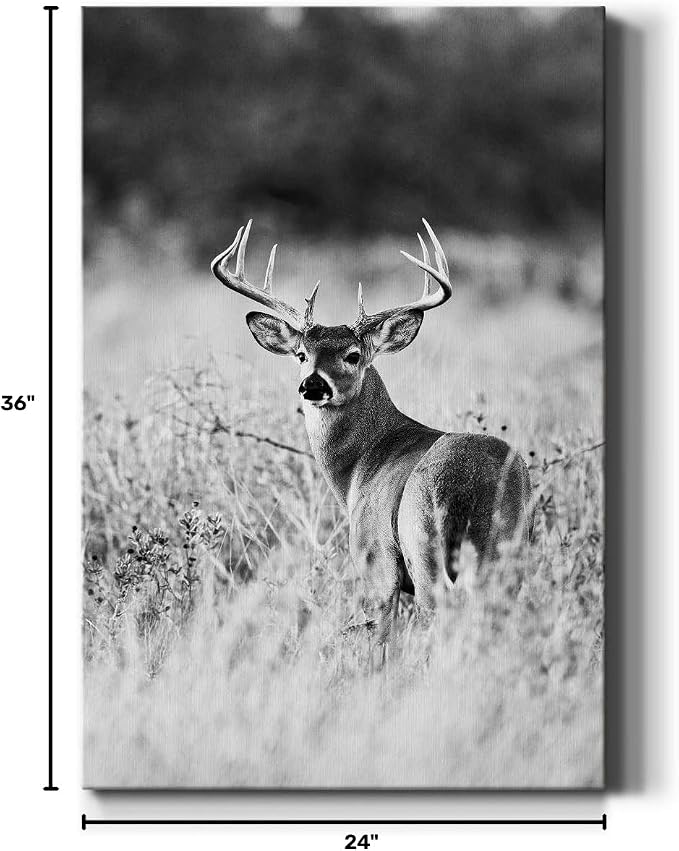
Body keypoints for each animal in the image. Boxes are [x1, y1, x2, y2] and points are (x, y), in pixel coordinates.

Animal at [212, 219, 532, 658]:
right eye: (300, 354)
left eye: (352, 355)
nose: (313, 385)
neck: (358, 468)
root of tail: (469, 483)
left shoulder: (374, 557)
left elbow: (381, 643)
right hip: (508, 555)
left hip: (423, 547)